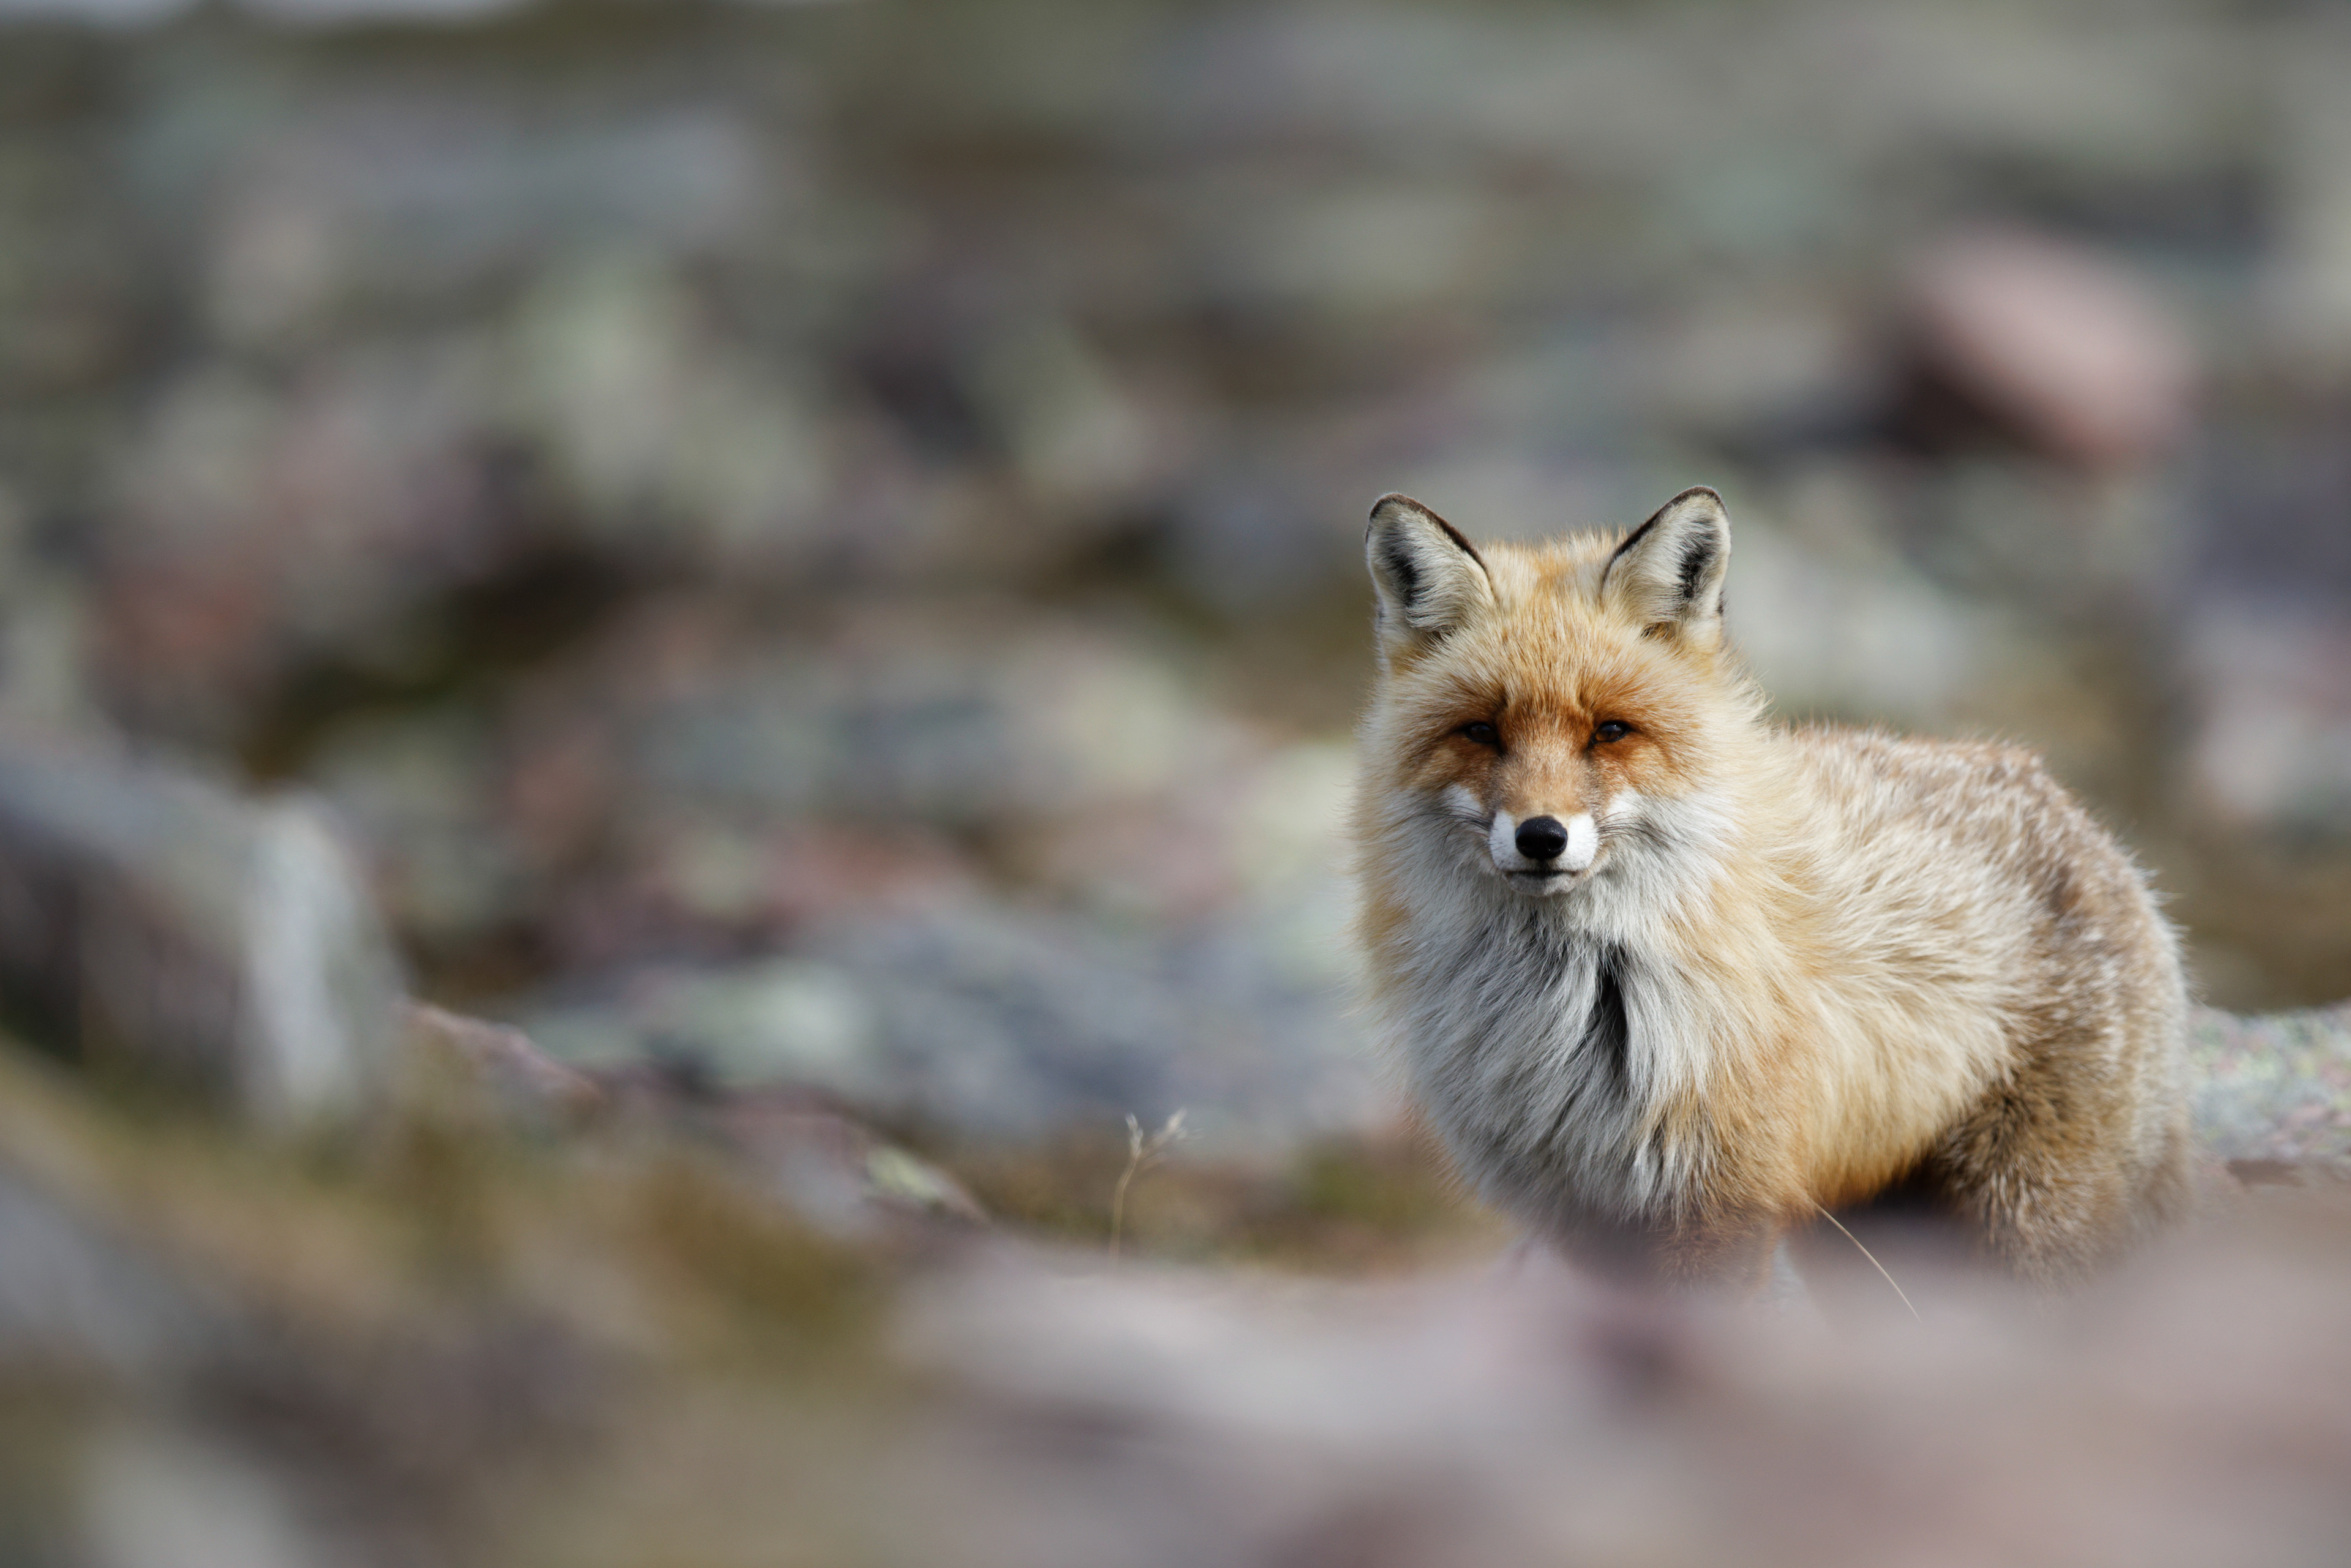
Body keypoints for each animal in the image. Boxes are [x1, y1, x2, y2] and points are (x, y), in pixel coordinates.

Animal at [1350, 486, 2196, 1289]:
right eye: (1481, 731)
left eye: (1611, 730)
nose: (1541, 836)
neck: (1569, 1015)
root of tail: (2082, 817)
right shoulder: (1585, 1218)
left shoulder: (1722, 1199)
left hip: (2028, 1216)